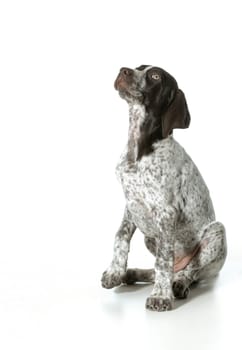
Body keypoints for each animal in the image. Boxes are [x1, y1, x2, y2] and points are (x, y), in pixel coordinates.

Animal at [100, 64, 227, 310]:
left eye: (155, 76)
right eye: (138, 68)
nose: (123, 70)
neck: (139, 149)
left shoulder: (166, 213)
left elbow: (163, 260)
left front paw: (160, 296)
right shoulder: (131, 204)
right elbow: (120, 237)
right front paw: (115, 272)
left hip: (216, 232)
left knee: (191, 271)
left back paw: (177, 284)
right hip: (150, 236)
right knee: (164, 269)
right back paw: (132, 274)